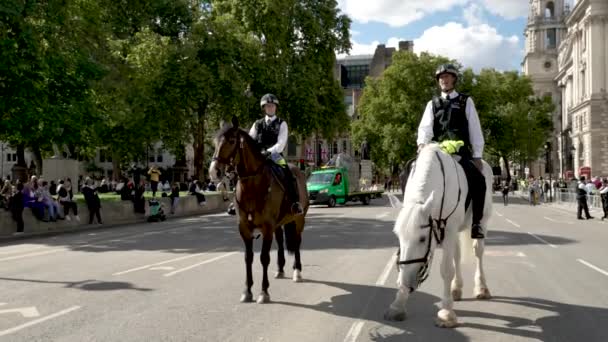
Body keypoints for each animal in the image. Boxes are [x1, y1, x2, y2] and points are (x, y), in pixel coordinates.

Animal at [209, 116, 308, 304]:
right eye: (215, 142)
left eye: (231, 141)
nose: (214, 171)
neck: (253, 186)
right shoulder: (244, 228)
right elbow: (248, 258)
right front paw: (247, 291)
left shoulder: (267, 226)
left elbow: (264, 257)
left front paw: (264, 292)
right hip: (279, 223)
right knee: (281, 242)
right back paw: (280, 270)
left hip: (299, 219)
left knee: (297, 242)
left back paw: (297, 272)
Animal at [384, 143, 494, 328]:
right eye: (398, 237)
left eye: (422, 239)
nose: (407, 283)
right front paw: (398, 304)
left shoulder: (449, 230)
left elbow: (446, 269)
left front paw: (446, 312)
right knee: (457, 255)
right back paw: (456, 288)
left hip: (482, 221)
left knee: (478, 251)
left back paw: (481, 287)